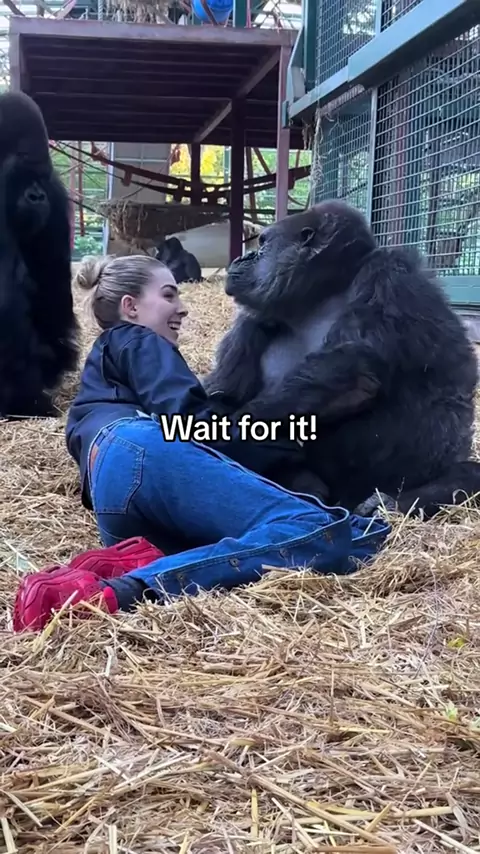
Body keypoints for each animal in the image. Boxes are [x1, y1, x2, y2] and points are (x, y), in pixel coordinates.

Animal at [203, 200, 480, 520]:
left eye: (262, 242)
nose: (242, 257)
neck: (322, 293)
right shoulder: (253, 319)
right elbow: (224, 388)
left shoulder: (388, 275)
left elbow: (352, 374)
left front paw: (232, 429)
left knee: (467, 474)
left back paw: (390, 504)